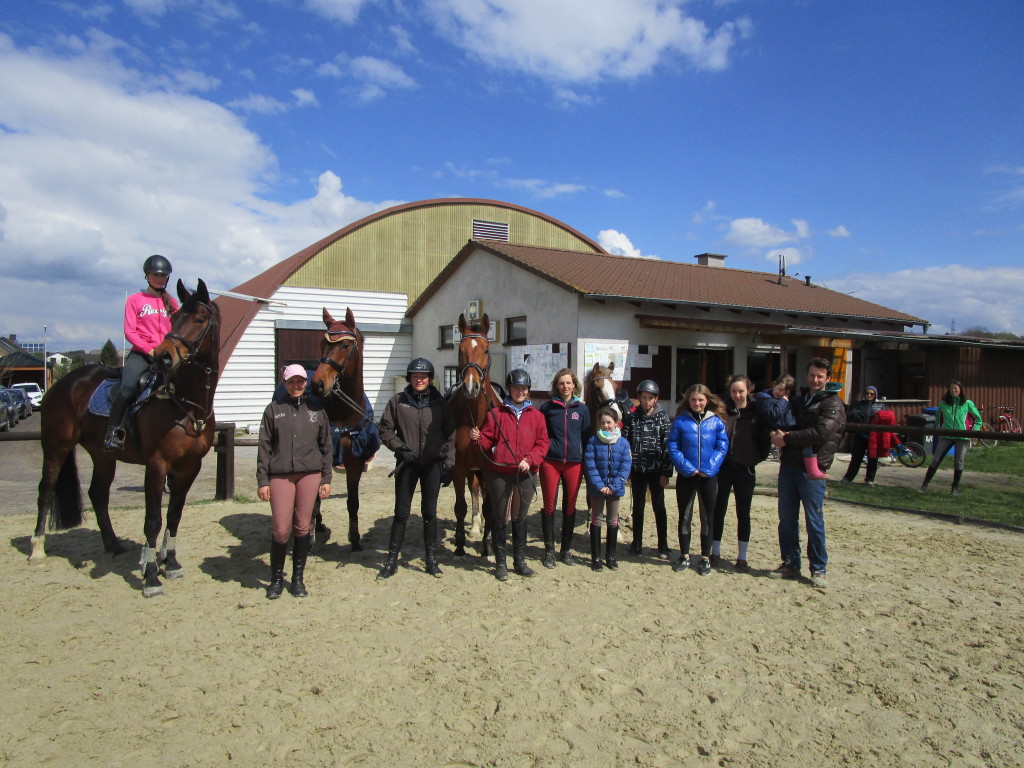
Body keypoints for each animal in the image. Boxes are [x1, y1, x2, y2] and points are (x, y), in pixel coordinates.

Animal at [30, 280, 220, 598]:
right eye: (174, 318)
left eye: (199, 319)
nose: (163, 356)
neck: (186, 404)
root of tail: (63, 383)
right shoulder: (157, 465)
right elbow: (153, 520)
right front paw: (151, 576)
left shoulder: (189, 467)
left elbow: (174, 515)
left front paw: (171, 563)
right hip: (56, 447)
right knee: (46, 490)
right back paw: (36, 549)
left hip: (103, 455)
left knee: (98, 493)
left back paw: (113, 544)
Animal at [311, 307, 380, 552]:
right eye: (322, 343)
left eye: (344, 345)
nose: (318, 384)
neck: (344, 415)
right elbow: (314, 500)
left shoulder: (355, 462)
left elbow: (353, 502)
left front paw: (355, 538)